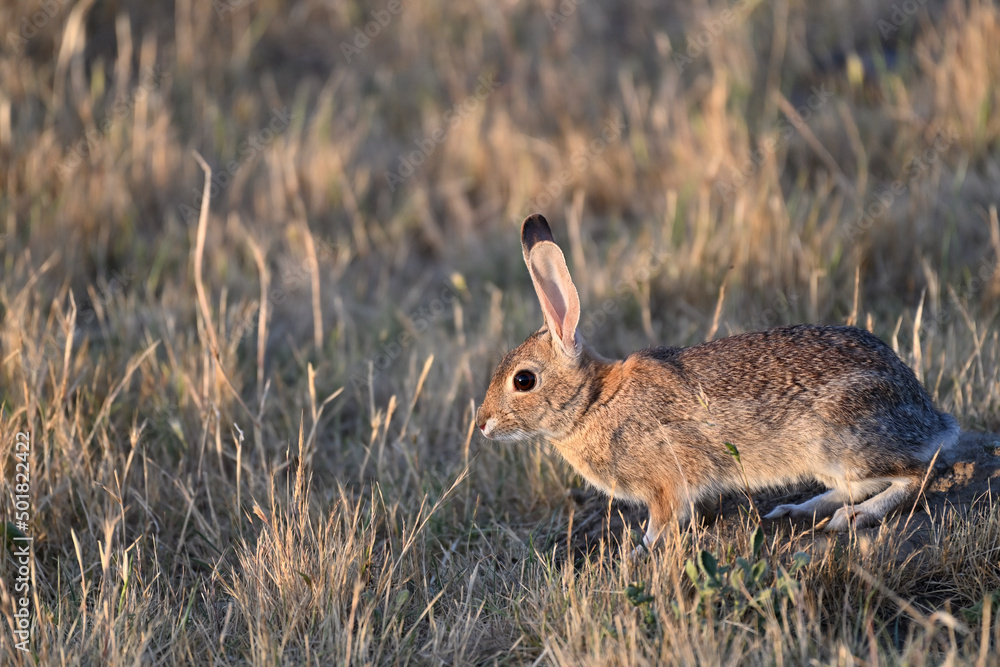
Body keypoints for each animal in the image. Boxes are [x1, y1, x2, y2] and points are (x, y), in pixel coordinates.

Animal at [476, 213, 960, 551]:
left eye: (524, 380)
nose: (482, 424)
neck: (593, 401)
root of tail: (928, 415)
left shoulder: (666, 482)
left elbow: (661, 522)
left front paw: (638, 553)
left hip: (839, 439)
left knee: (916, 474)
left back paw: (852, 519)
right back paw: (797, 509)